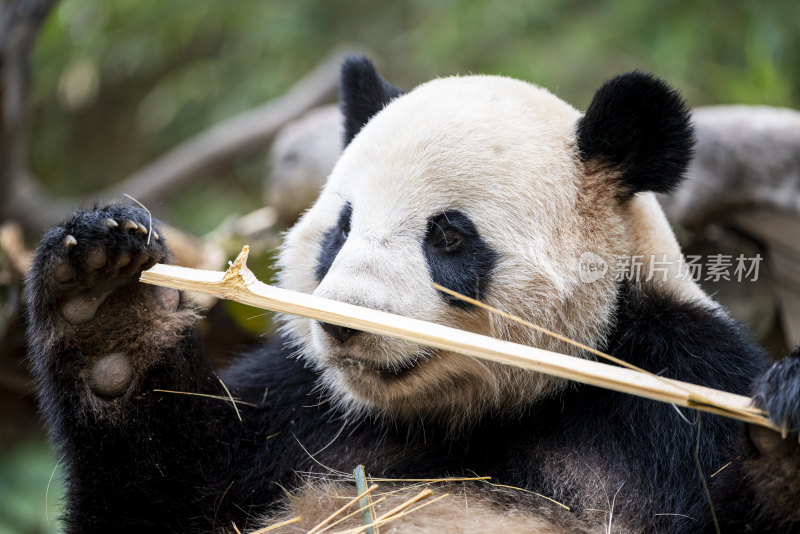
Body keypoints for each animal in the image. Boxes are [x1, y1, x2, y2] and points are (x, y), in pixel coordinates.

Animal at [25, 56, 800, 532]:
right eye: (343, 226)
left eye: (449, 237)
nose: (342, 325)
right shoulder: (301, 412)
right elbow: (160, 498)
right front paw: (105, 306)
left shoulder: (667, 398)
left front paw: (784, 439)